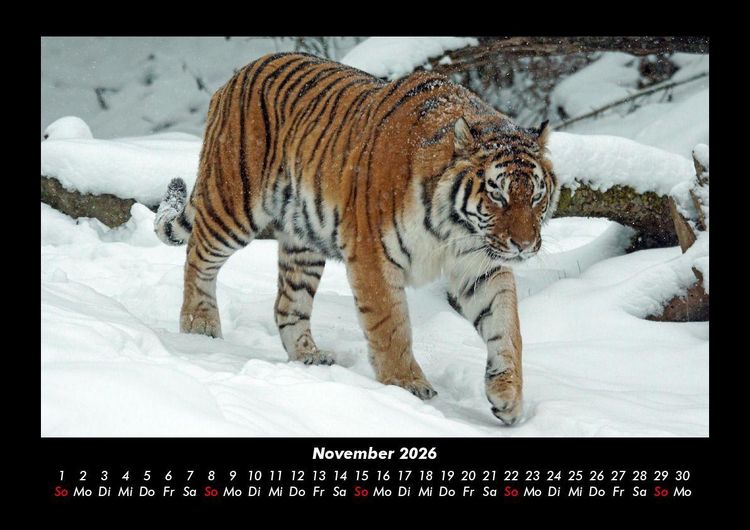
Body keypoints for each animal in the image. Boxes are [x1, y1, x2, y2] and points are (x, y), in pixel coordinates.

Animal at [154, 52, 558, 425]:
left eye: (536, 196)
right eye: (497, 195)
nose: (524, 246)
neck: (455, 229)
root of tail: (238, 74)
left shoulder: (481, 265)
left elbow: (507, 327)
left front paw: (508, 396)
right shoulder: (372, 256)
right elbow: (391, 326)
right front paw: (407, 386)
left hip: (303, 242)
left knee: (287, 304)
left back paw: (309, 357)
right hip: (234, 202)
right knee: (198, 257)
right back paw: (199, 327)